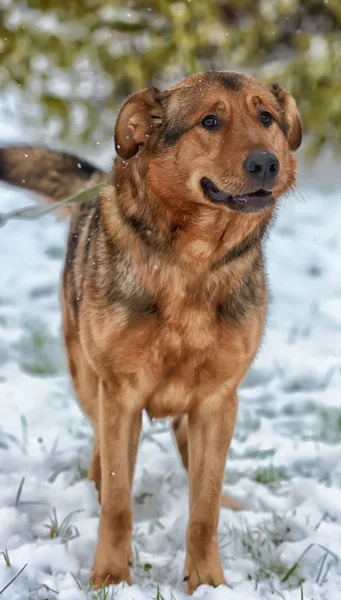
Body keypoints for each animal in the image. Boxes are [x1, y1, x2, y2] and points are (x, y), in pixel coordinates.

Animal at [0, 72, 298, 592]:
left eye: (266, 117)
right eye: (210, 121)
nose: (267, 163)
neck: (192, 261)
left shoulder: (218, 400)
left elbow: (203, 511)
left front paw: (208, 583)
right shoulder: (120, 395)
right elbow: (119, 503)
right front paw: (109, 578)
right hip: (86, 380)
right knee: (100, 448)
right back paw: (94, 487)